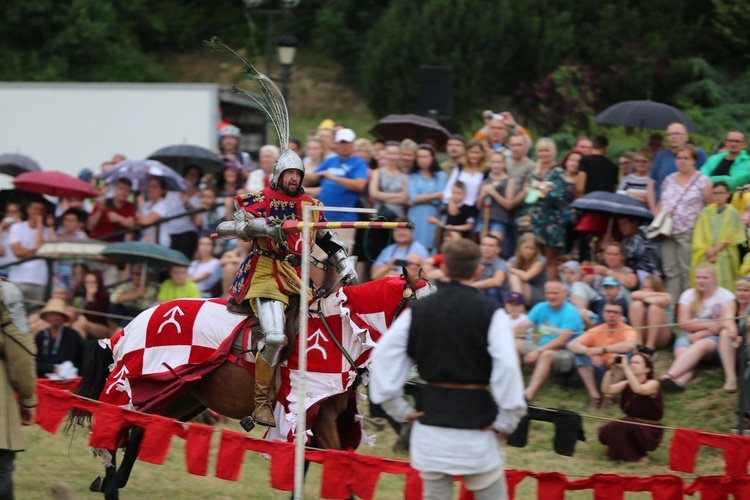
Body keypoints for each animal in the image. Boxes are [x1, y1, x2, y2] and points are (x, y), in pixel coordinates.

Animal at [67, 272, 438, 498]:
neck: (340, 330)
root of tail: (131, 324)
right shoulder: (310, 415)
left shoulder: (318, 421)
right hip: (147, 383)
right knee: (116, 426)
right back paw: (110, 485)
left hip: (181, 395)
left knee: (137, 432)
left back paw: (108, 482)